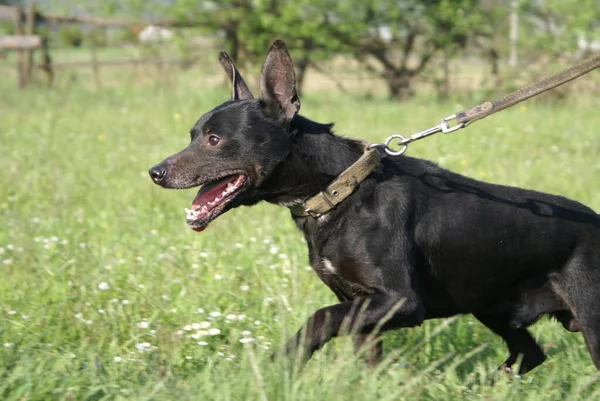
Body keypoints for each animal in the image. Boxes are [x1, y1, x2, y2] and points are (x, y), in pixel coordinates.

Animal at [149, 39, 600, 372]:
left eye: (215, 140)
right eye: (193, 134)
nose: (155, 172)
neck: (337, 191)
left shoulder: (398, 302)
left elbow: (317, 318)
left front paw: (284, 362)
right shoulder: (363, 310)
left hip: (588, 323)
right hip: (491, 305)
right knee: (529, 354)